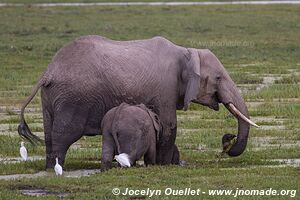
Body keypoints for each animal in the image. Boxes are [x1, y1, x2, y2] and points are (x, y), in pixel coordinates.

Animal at [18, 35, 258, 168]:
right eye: (218, 78)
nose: (228, 140)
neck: (187, 51)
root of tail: (48, 73)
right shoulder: (166, 87)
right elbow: (169, 125)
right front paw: (164, 165)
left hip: (52, 96)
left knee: (50, 133)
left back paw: (49, 167)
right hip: (74, 99)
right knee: (63, 135)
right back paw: (57, 167)